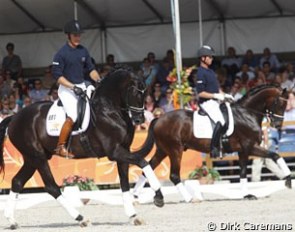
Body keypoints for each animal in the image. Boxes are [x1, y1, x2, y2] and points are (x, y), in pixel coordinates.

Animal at [0, 66, 164, 228]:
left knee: (17, 182)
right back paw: (81, 218)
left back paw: (12, 220)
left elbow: (124, 183)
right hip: (37, 156)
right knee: (51, 187)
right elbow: (143, 161)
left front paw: (133, 216)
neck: (109, 109)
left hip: (31, 158)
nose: (139, 120)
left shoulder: (123, 150)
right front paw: (158, 197)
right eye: (135, 92)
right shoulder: (114, 151)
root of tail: (14, 117)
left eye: (146, 93)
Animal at [134, 84, 292, 203]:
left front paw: (247, 195)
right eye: (280, 103)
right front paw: (288, 180)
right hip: (175, 150)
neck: (246, 114)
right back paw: (190, 198)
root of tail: (158, 119)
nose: (278, 125)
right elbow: (275, 155)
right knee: (173, 175)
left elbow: (242, 172)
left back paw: (135, 197)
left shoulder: (243, 151)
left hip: (163, 150)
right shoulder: (250, 147)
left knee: (147, 168)